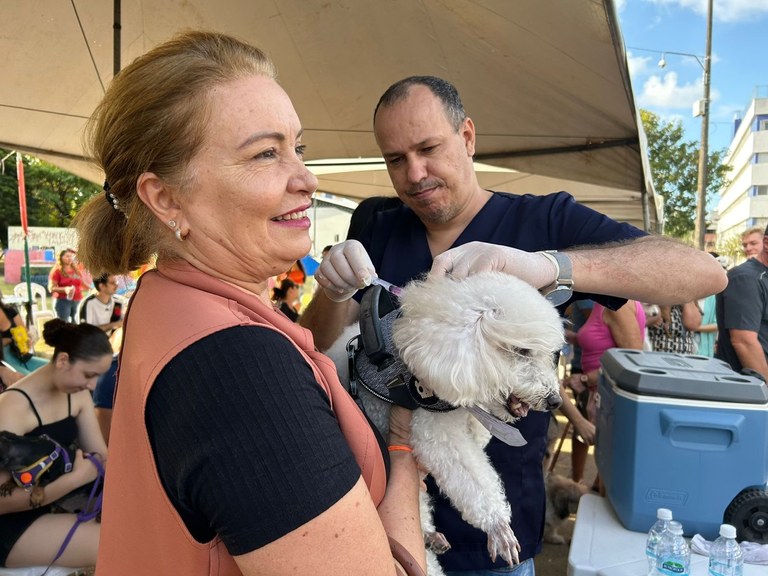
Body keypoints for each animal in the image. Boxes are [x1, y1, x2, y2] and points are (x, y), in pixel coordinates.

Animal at [324, 272, 564, 576]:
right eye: (522, 350)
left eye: (551, 355)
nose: (555, 400)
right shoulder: (432, 430)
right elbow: (471, 477)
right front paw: (498, 525)